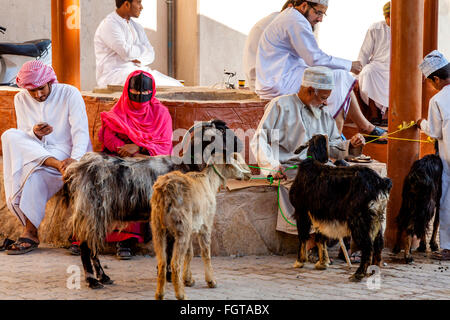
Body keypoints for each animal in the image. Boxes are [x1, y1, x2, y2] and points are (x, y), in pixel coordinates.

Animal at [63, 119, 243, 288]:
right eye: (222, 131)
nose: (240, 145)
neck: (186, 166)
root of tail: (77, 169)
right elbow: (171, 249)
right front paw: (170, 276)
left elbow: (168, 249)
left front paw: (165, 274)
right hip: (91, 210)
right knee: (86, 246)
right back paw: (93, 281)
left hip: (98, 214)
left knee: (92, 245)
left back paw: (104, 278)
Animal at [149, 152, 251, 300]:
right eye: (236, 161)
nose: (249, 175)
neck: (210, 182)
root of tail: (164, 191)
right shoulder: (206, 224)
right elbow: (205, 253)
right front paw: (211, 281)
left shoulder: (192, 228)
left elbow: (190, 253)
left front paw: (188, 280)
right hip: (181, 226)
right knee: (175, 263)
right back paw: (181, 295)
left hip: (158, 227)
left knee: (162, 262)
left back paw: (159, 294)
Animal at [288, 134, 390, 282]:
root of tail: (380, 182)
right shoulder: (321, 213)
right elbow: (320, 237)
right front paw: (322, 263)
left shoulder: (301, 211)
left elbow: (303, 236)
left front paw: (300, 261)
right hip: (377, 219)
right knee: (378, 244)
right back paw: (373, 271)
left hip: (359, 220)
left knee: (367, 246)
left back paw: (358, 274)